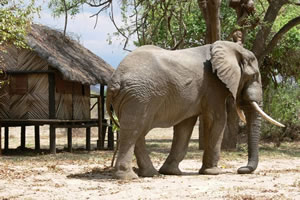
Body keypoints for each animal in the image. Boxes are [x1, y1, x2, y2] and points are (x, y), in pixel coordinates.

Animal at [106, 40, 284, 180]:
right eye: (253, 76)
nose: (241, 169)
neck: (230, 48)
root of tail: (114, 80)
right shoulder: (213, 85)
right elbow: (218, 119)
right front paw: (212, 172)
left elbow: (185, 126)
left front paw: (171, 172)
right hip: (139, 96)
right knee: (134, 130)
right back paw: (129, 177)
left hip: (134, 97)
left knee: (138, 132)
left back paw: (151, 174)